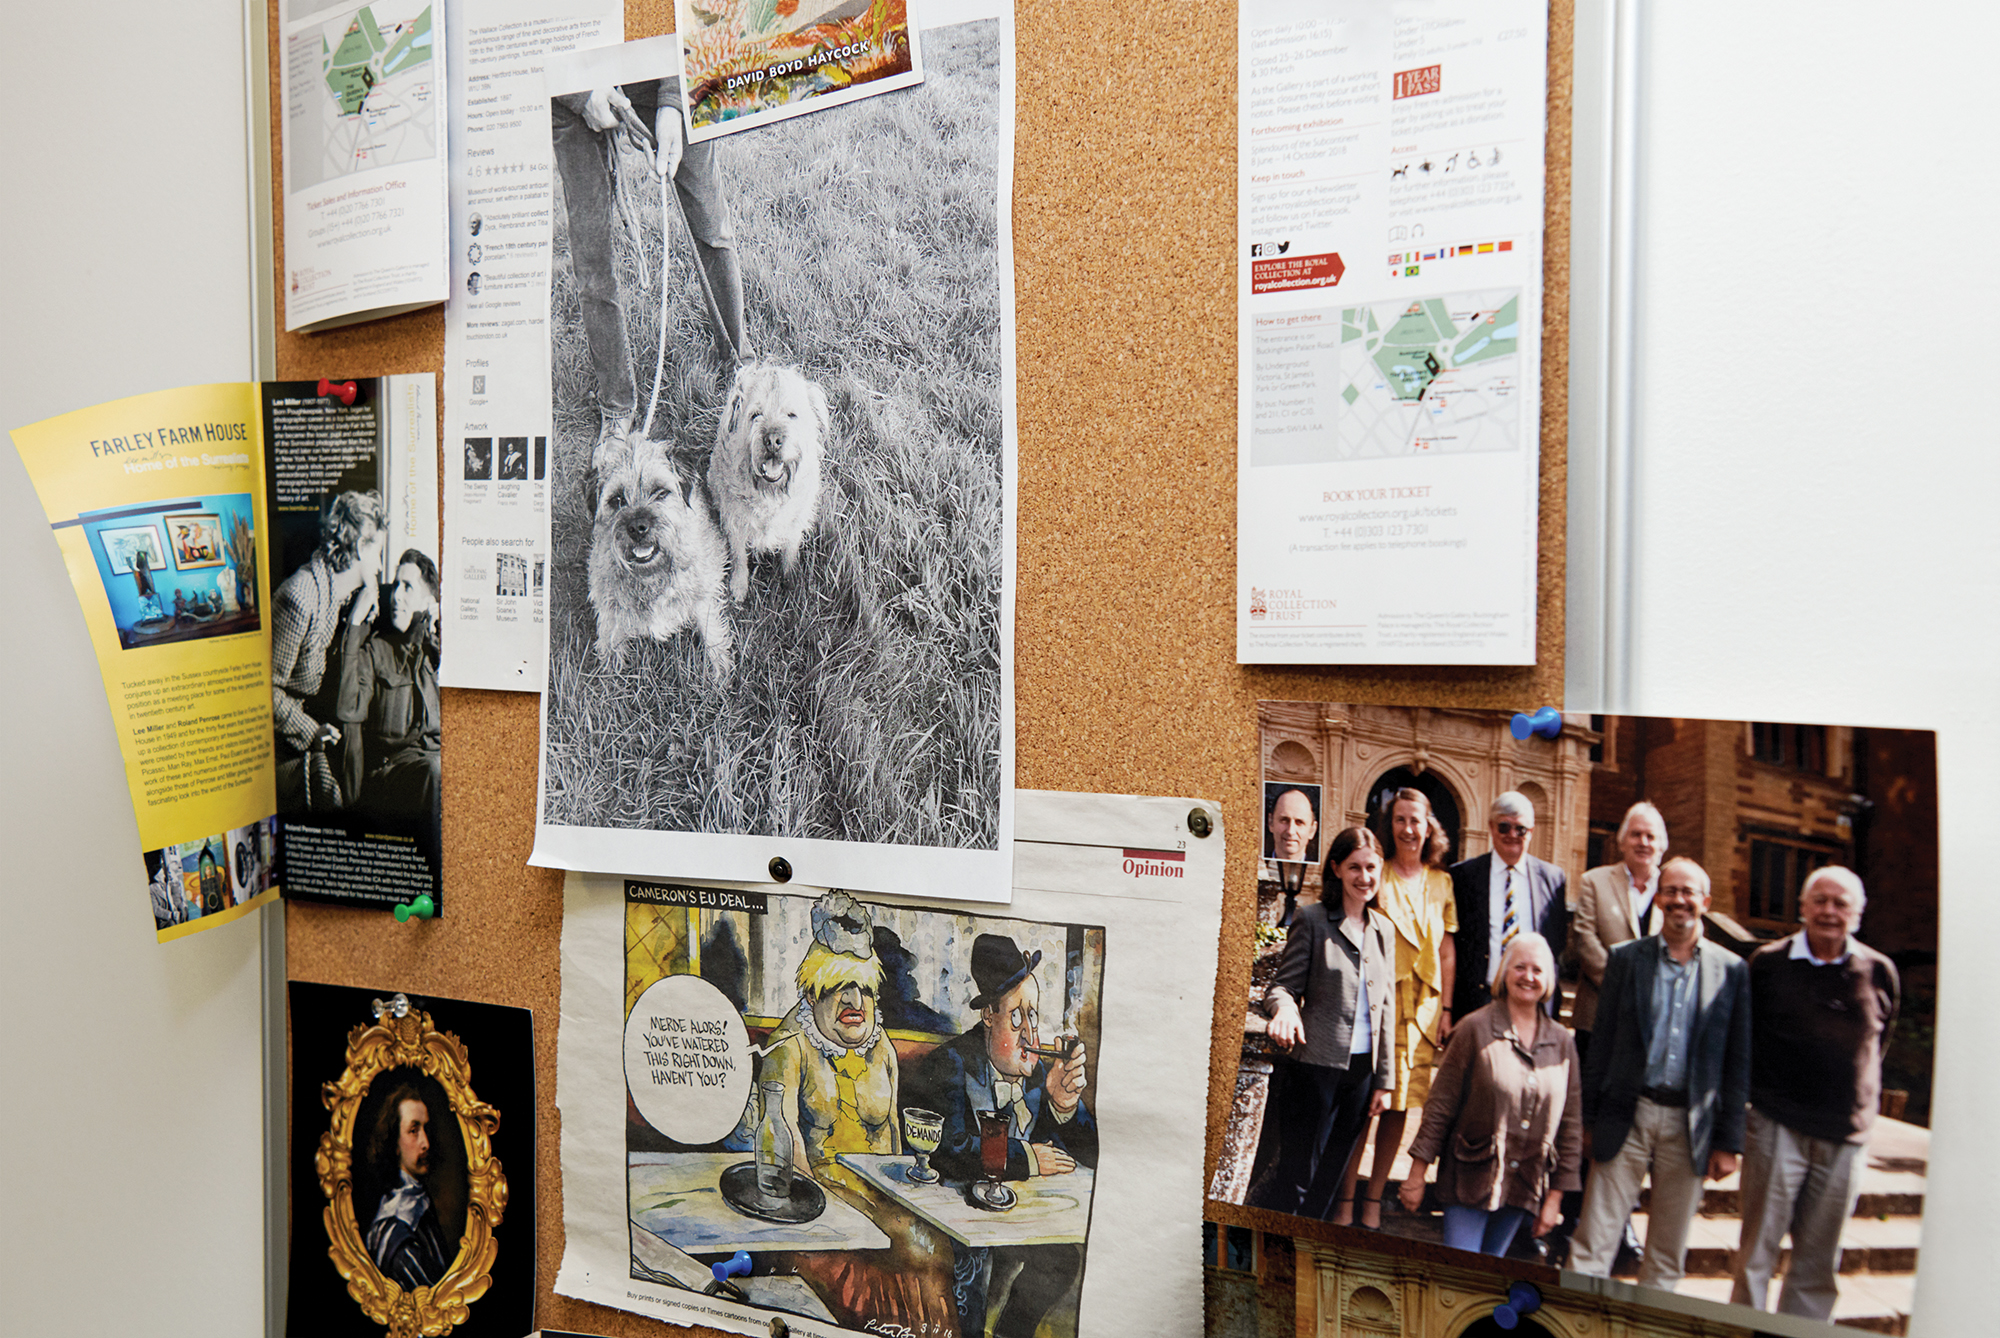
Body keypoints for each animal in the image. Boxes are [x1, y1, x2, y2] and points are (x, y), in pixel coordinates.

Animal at [588, 446, 740, 680]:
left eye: (660, 492)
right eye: (617, 499)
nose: (637, 527)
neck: (651, 576)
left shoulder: (702, 594)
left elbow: (711, 629)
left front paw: (719, 669)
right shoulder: (606, 597)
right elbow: (609, 630)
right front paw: (610, 670)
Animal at [712, 360, 828, 600]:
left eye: (791, 415)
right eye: (756, 414)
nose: (773, 440)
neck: (770, 494)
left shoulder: (795, 523)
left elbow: (790, 550)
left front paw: (790, 578)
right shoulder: (735, 522)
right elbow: (738, 555)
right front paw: (739, 584)